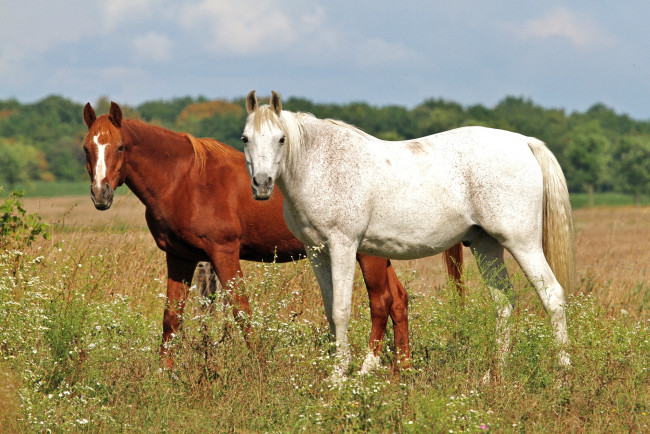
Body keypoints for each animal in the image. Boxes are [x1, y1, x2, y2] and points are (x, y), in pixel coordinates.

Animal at [83, 101, 464, 370]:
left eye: (120, 147)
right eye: (87, 148)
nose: (101, 194)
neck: (186, 179)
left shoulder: (223, 253)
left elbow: (241, 312)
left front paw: (257, 367)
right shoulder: (179, 257)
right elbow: (171, 318)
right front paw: (165, 374)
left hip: (368, 254)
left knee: (383, 301)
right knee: (398, 300)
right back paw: (402, 371)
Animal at [242, 91, 572, 380]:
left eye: (281, 139)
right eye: (245, 138)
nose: (261, 183)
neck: (321, 164)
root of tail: (525, 142)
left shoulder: (343, 247)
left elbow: (341, 310)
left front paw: (339, 376)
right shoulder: (317, 252)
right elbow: (329, 309)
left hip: (522, 243)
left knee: (552, 296)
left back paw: (562, 376)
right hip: (486, 246)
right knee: (504, 302)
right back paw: (495, 376)